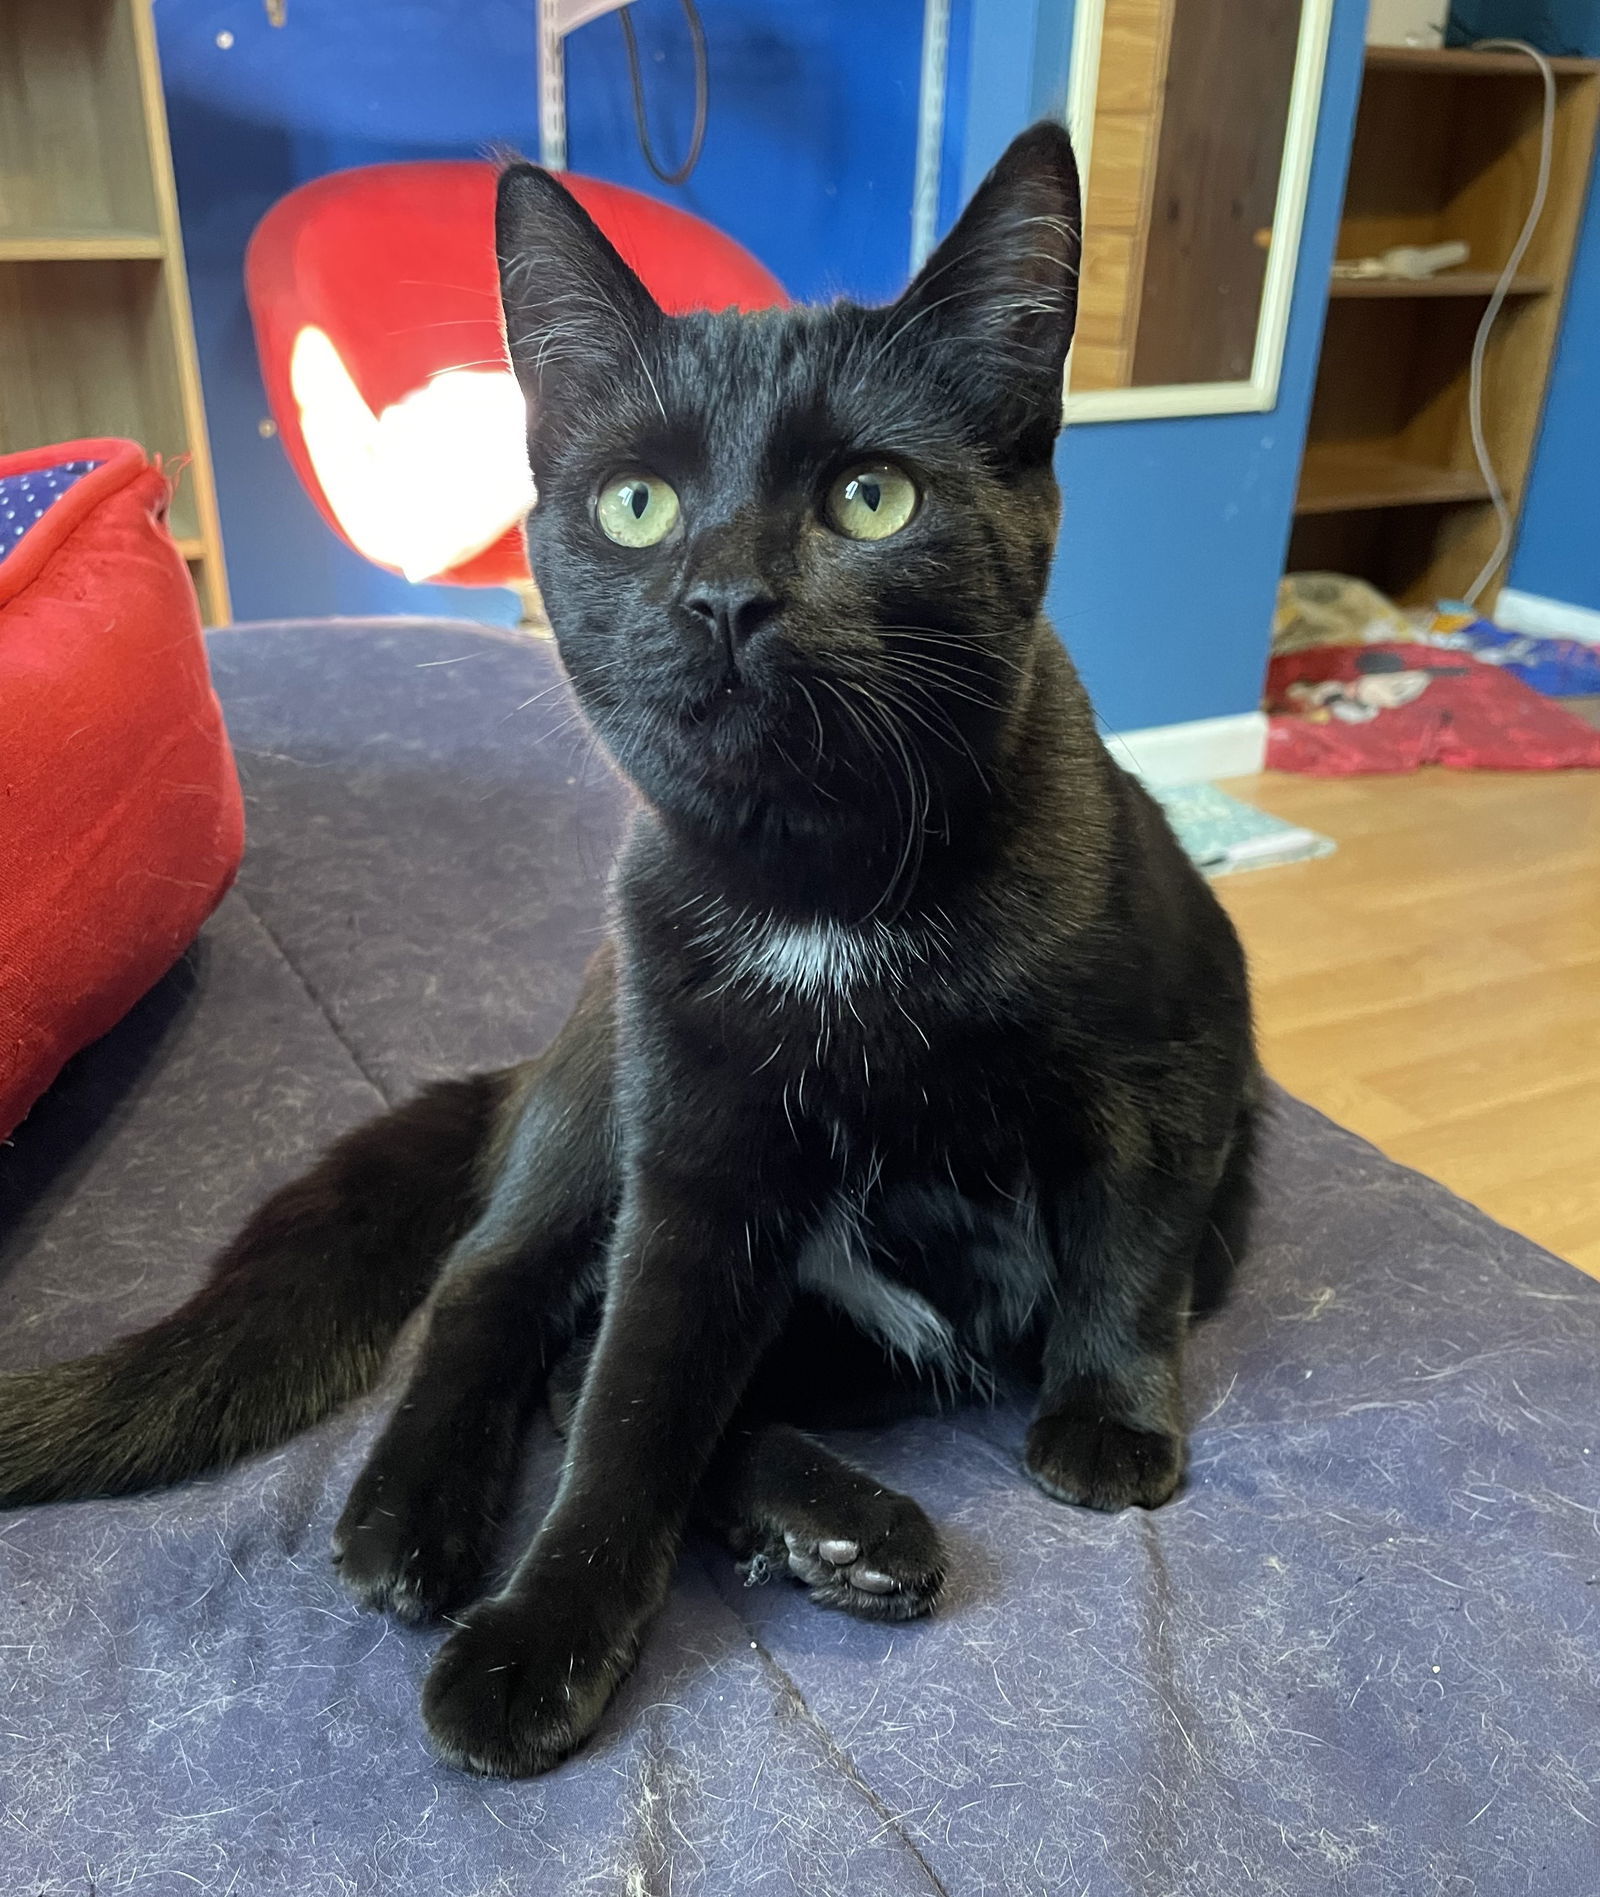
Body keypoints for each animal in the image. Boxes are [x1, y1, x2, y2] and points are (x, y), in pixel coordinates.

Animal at [0, 126, 1260, 1783]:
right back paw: (418, 1517)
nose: (725, 596)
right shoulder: (695, 1161)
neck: (827, 898)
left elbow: (1131, 1235)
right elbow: (628, 1410)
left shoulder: (1170, 1056)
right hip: (612, 1085)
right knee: (508, 1290)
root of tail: (542, 1051)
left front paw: (1111, 1421)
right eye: (640, 506)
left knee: (638, 1348)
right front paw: (545, 1636)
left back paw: (838, 1533)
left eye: (872, 499)